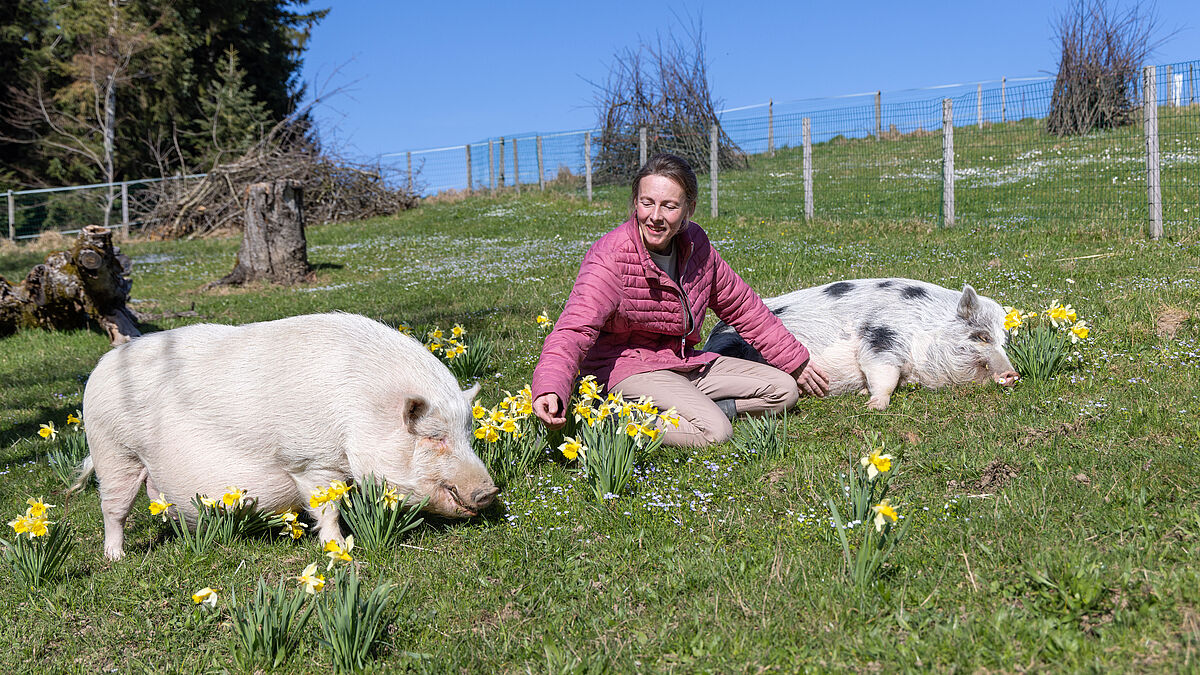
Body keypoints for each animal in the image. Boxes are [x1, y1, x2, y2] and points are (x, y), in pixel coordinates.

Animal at [73, 309, 496, 557]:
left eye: (468, 434)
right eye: (434, 436)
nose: (491, 491)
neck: (361, 408)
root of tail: (101, 368)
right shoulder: (310, 460)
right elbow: (327, 507)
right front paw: (340, 551)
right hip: (114, 451)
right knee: (113, 509)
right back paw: (116, 557)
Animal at [700, 277, 1022, 408]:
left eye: (1004, 342)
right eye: (981, 337)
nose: (1013, 373)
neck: (925, 325)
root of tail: (712, 338)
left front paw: (863, 395)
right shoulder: (882, 334)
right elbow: (883, 373)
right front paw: (873, 405)